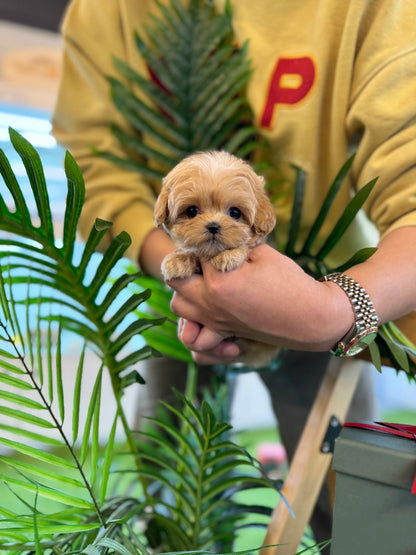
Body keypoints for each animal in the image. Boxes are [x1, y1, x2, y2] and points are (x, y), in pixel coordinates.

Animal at [155, 151, 280, 370]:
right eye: (192, 211)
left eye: (235, 213)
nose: (213, 226)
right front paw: (178, 259)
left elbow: (245, 246)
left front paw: (229, 256)